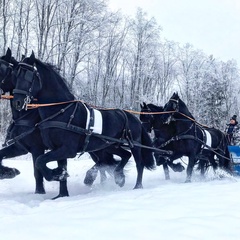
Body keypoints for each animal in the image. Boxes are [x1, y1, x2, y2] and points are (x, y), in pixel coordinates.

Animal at [12, 51, 155, 190]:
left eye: (28, 75)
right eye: (16, 75)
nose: (17, 102)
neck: (62, 111)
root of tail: (134, 118)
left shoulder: (68, 149)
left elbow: (40, 160)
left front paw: (55, 174)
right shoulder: (57, 148)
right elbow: (44, 163)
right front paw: (59, 175)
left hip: (134, 144)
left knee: (139, 164)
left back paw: (137, 186)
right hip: (110, 145)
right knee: (125, 155)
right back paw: (119, 177)